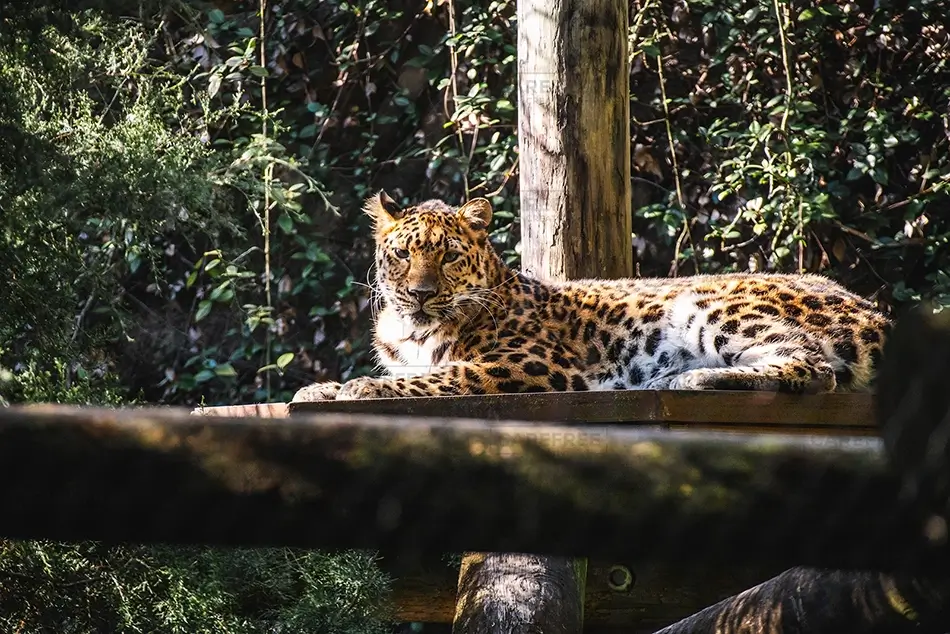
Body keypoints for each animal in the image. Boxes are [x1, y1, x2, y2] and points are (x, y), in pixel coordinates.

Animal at [292, 191, 892, 403]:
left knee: (812, 367)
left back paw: (687, 379)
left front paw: (353, 389)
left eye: (448, 258)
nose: (419, 294)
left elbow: (440, 375)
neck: (411, 330)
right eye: (401, 255)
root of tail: (876, 311)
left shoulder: (532, 366)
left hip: (711, 303)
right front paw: (322, 387)